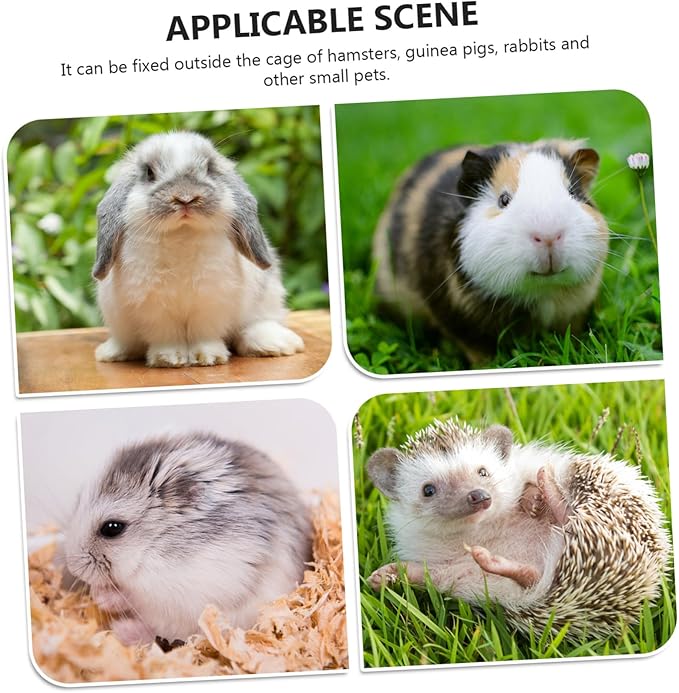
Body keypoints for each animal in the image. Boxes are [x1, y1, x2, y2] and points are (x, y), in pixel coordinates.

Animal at [92, 131, 304, 367]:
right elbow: (166, 335)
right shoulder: (154, 308)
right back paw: (112, 353)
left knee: (254, 326)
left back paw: (275, 344)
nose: (185, 198)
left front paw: (208, 357)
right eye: (149, 172)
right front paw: (169, 359)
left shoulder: (211, 302)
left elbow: (204, 333)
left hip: (267, 299)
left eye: (210, 168)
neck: (182, 234)